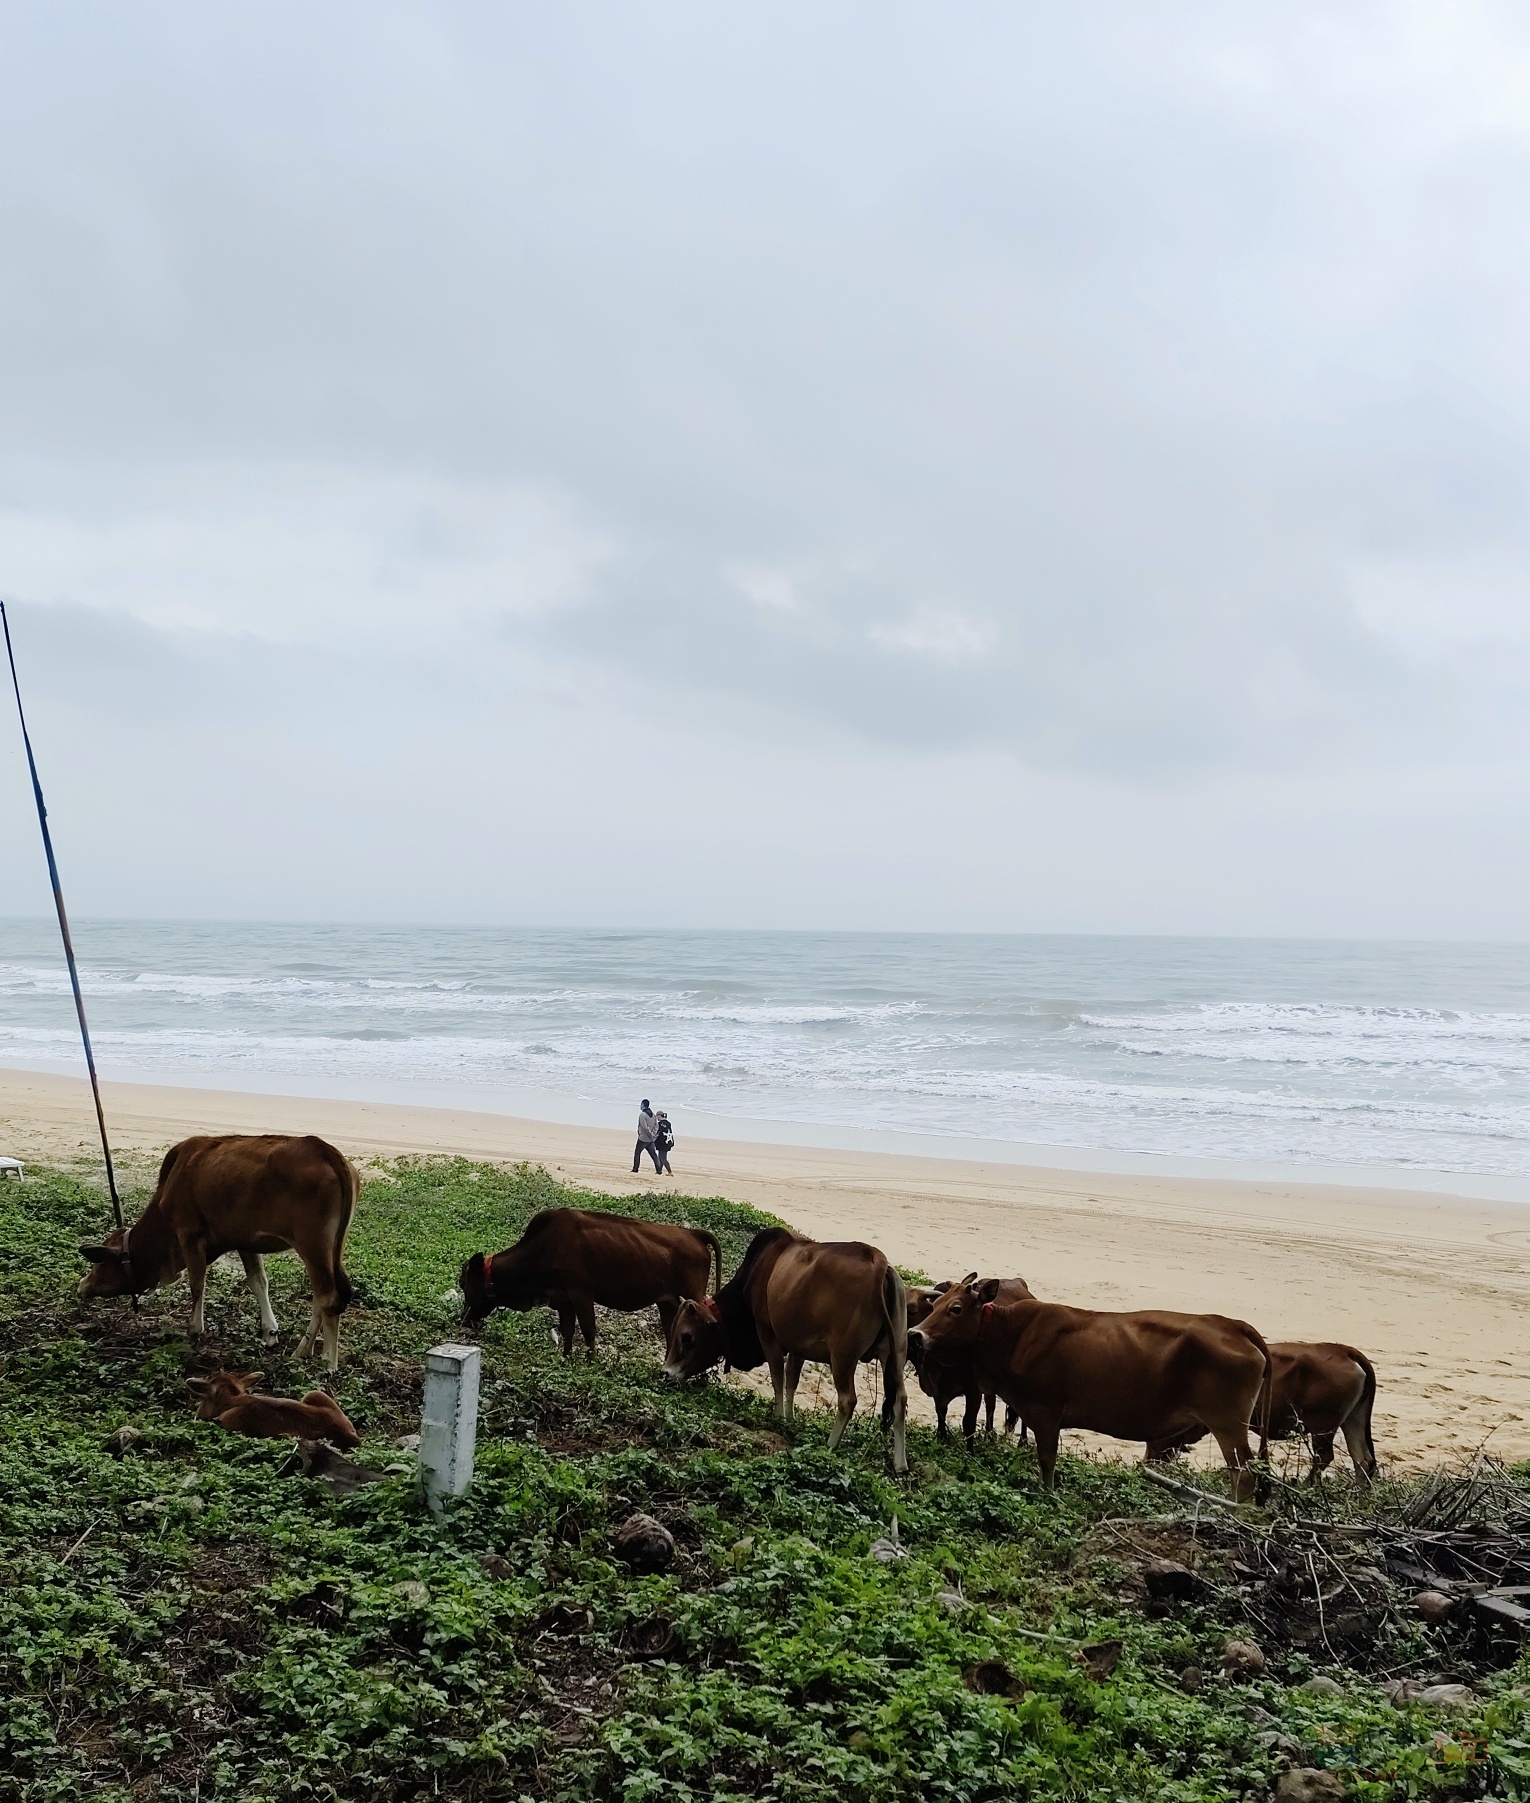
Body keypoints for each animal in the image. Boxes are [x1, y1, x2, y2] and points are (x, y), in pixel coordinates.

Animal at [78, 1132, 358, 1370]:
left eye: (100, 1263)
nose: (82, 1285)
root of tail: (324, 1150)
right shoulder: (245, 1241)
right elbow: (258, 1282)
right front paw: (269, 1331)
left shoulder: (189, 1234)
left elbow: (197, 1284)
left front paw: (195, 1328)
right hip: (333, 1247)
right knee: (325, 1296)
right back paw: (306, 1350)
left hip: (313, 1244)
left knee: (327, 1296)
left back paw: (325, 1358)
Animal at [455, 1211, 724, 1355]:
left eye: (464, 1283)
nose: (463, 1319)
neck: (543, 1248)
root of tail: (694, 1234)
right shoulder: (562, 1299)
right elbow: (567, 1332)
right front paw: (565, 1359)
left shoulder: (581, 1293)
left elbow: (588, 1332)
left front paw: (591, 1363)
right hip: (667, 1303)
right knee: (672, 1334)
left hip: (693, 1296)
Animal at [908, 1276, 1268, 1514]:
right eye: (935, 1304)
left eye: (955, 1308)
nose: (915, 1334)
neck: (1010, 1335)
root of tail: (1234, 1326)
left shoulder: (1045, 1412)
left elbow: (1047, 1460)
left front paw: (1048, 1496)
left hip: (1228, 1425)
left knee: (1244, 1478)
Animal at [1138, 1341, 1376, 1478]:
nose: (1146, 1463)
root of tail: (1346, 1351)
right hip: (1353, 1419)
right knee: (1363, 1459)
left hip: (1324, 1424)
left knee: (1324, 1456)